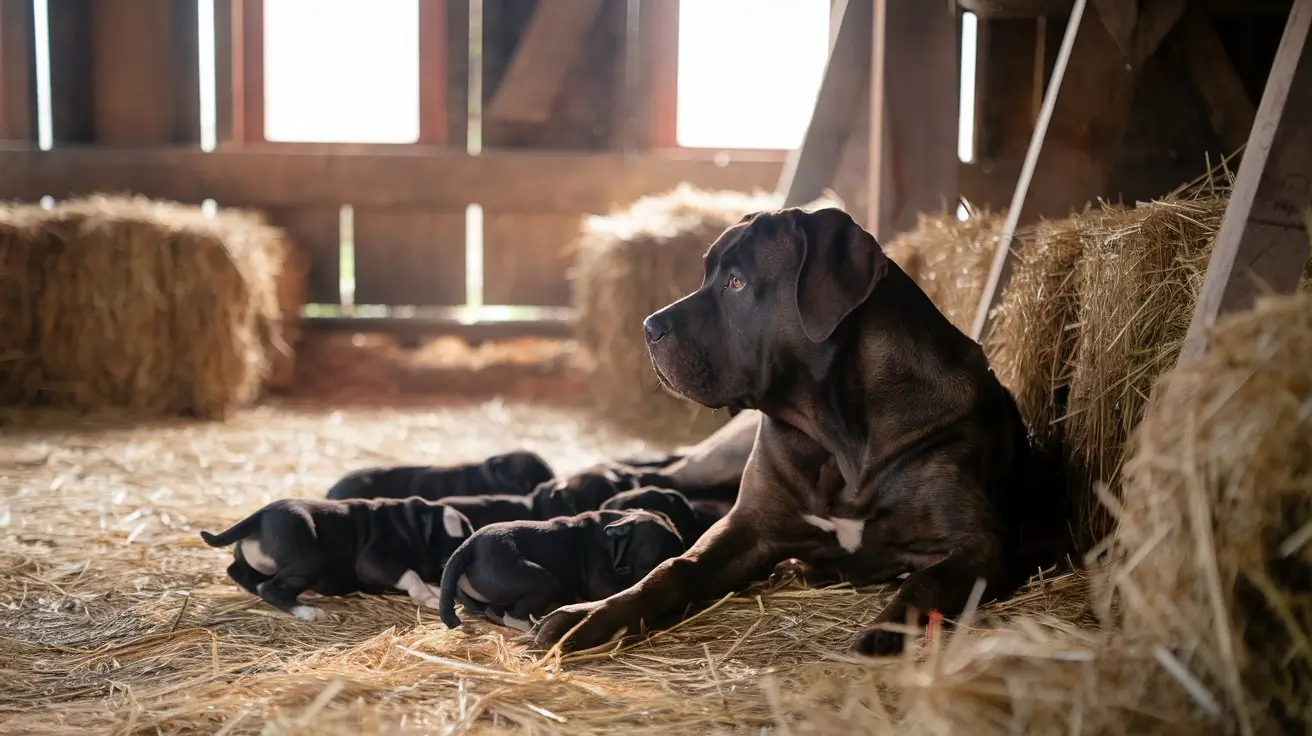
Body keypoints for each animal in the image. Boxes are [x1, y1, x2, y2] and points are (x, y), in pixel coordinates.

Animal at [196, 495, 474, 616]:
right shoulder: (374, 562)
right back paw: (307, 611)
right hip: (309, 558)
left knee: (239, 572)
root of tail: (259, 516)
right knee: (268, 587)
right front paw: (428, 596)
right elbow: (411, 575)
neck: (414, 525)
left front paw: (434, 592)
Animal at [440, 511, 687, 632]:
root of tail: (467, 546)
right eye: (650, 563)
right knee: (514, 612)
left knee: (494, 609)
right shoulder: (603, 581)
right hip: (539, 579)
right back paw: (532, 625)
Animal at [530, 204, 1065, 653]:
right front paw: (591, 614)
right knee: (669, 470)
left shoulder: (981, 543)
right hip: (718, 457)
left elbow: (925, 580)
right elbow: (673, 568)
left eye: (736, 283)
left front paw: (882, 629)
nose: (647, 327)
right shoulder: (747, 527)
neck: (839, 436)